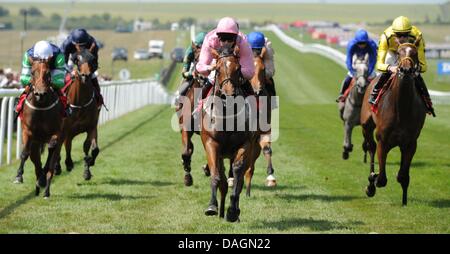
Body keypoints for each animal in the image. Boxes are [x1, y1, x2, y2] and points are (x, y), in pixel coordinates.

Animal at [14, 56, 63, 197]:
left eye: (48, 73)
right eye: (32, 73)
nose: (40, 94)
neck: (41, 107)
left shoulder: (57, 132)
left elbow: (52, 147)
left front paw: (43, 177)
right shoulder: (27, 131)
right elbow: (25, 153)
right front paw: (19, 176)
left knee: (51, 162)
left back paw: (45, 190)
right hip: (35, 144)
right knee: (36, 162)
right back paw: (38, 185)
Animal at [59, 44, 100, 181]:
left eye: (93, 59)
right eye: (77, 59)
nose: (84, 75)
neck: (81, 103)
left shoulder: (92, 126)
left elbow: (92, 148)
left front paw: (88, 167)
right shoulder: (66, 129)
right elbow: (66, 147)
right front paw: (68, 164)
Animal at [201, 45, 260, 222]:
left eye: (238, 68)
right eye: (218, 69)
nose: (229, 95)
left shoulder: (245, 144)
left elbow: (238, 174)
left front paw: (233, 211)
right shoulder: (211, 143)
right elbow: (216, 176)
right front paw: (212, 207)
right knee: (223, 181)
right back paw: (220, 211)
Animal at [360, 36, 428, 205]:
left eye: (415, 53)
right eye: (398, 52)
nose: (405, 70)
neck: (401, 109)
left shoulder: (410, 143)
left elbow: (403, 176)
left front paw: (404, 201)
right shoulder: (383, 141)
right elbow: (382, 179)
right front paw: (373, 180)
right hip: (366, 126)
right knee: (371, 147)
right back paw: (371, 181)